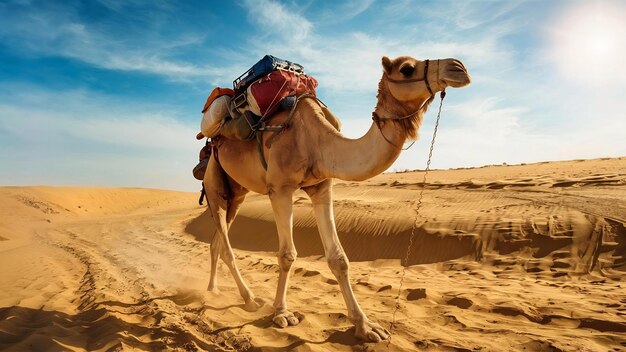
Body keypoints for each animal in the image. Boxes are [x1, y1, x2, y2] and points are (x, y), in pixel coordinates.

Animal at [202, 56, 470, 342]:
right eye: (407, 68)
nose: (458, 67)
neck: (314, 140)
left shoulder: (322, 187)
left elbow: (339, 259)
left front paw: (366, 326)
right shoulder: (280, 188)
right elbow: (287, 255)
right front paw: (282, 313)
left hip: (237, 193)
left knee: (217, 242)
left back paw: (213, 289)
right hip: (214, 183)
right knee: (225, 244)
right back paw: (250, 299)